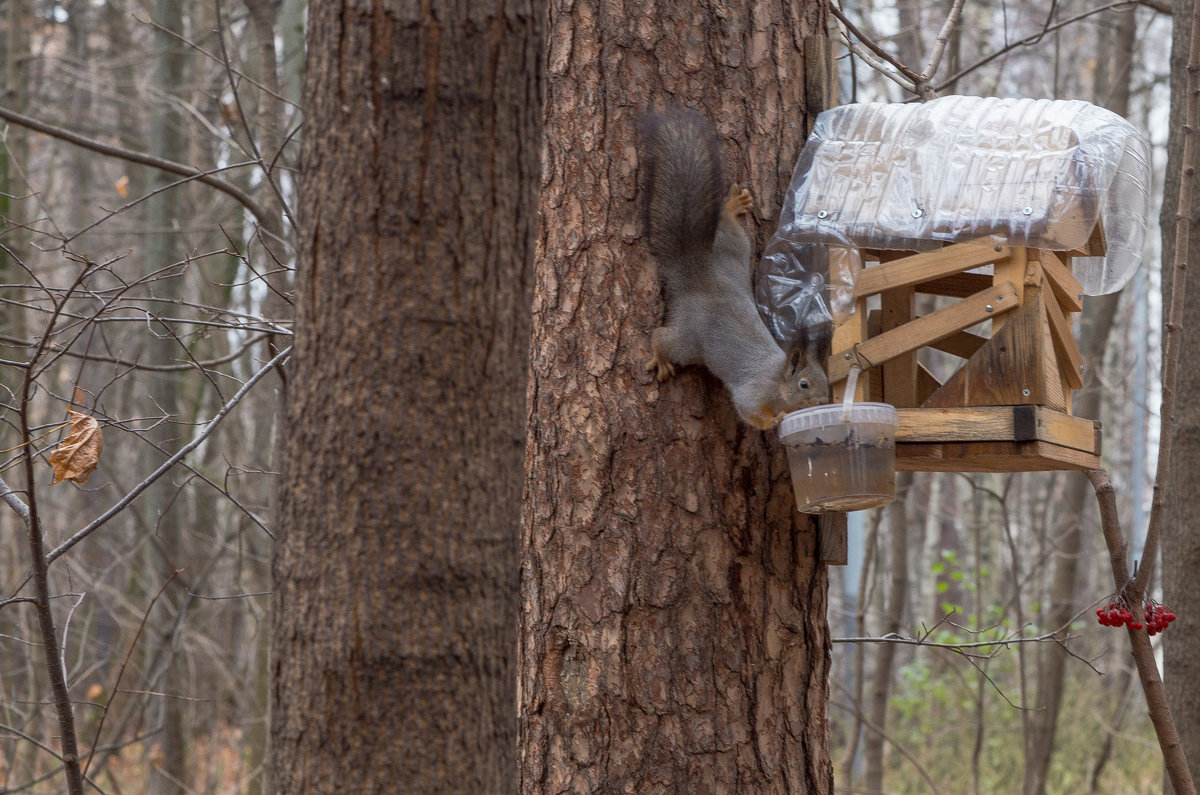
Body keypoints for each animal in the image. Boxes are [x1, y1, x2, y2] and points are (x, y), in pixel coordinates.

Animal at [643, 107, 830, 429]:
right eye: (804, 384)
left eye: (825, 381)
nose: (823, 403)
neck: (777, 380)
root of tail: (700, 274)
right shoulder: (754, 391)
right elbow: (748, 409)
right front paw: (774, 421)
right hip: (690, 339)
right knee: (664, 338)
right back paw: (661, 358)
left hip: (734, 253)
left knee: (729, 231)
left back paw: (731, 208)